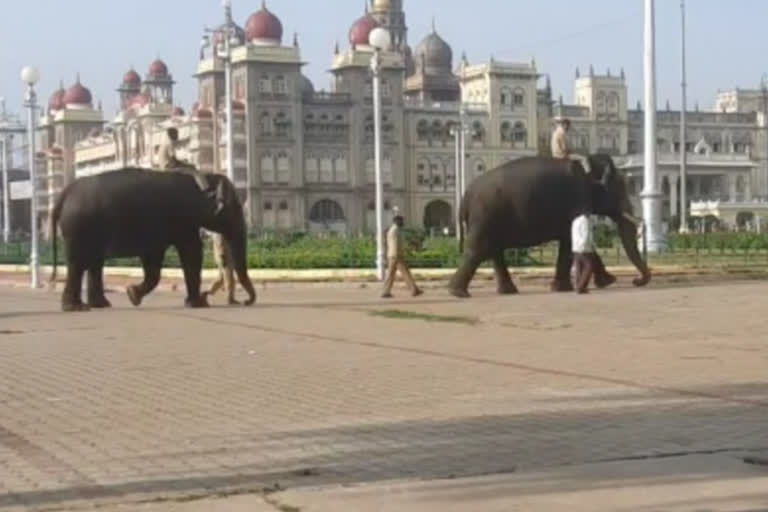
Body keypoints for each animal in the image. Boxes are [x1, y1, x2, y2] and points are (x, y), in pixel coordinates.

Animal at [49, 168, 256, 312]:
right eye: (235, 207)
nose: (246, 302)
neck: (201, 177)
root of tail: (64, 194)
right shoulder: (182, 219)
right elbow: (191, 251)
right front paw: (198, 304)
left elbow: (154, 261)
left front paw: (132, 295)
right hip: (79, 228)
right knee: (78, 264)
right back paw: (76, 308)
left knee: (93, 263)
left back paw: (99, 305)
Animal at [448, 153, 652, 296]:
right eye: (620, 190)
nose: (636, 281)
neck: (587, 165)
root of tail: (465, 195)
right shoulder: (575, 200)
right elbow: (570, 242)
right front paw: (564, 288)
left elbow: (577, 243)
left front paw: (607, 281)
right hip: (485, 216)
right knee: (479, 251)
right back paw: (458, 293)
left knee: (494, 251)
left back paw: (505, 291)